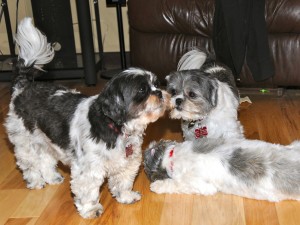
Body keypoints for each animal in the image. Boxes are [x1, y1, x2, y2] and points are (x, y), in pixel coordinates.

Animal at [4, 17, 169, 218]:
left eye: (156, 84)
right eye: (142, 90)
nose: (159, 93)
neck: (117, 129)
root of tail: (23, 86)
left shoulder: (126, 162)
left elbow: (122, 181)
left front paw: (126, 196)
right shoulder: (88, 168)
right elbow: (88, 190)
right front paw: (91, 209)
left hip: (45, 140)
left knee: (45, 159)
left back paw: (52, 177)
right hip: (25, 141)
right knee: (29, 164)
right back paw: (36, 181)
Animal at [144, 48, 300, 201]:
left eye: (192, 94)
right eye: (173, 91)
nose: (177, 100)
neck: (204, 118)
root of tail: (211, 60)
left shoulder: (230, 131)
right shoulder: (191, 135)